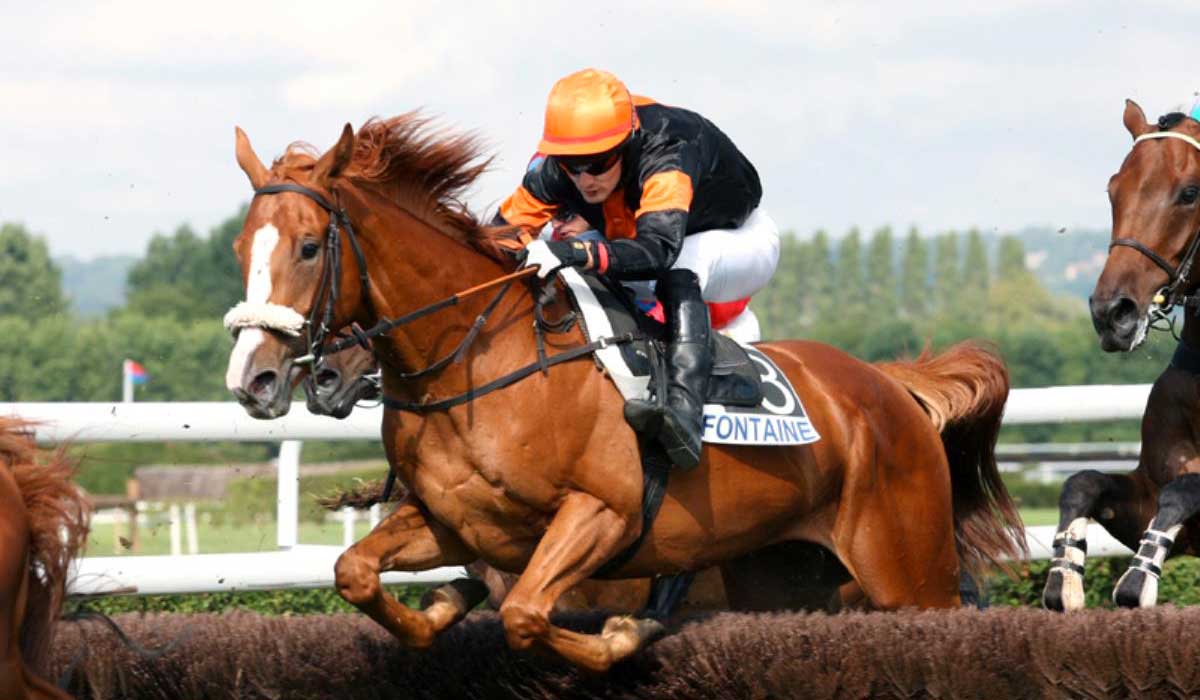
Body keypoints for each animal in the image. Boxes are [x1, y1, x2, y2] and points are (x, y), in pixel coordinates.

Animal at [224, 113, 1024, 671]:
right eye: (239, 249)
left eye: (308, 246)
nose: (254, 377)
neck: (479, 366)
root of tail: (888, 387)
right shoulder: (455, 523)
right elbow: (356, 572)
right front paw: (441, 609)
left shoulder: (603, 513)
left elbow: (525, 615)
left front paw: (624, 635)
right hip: (786, 575)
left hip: (908, 569)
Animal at [1046, 100, 1200, 611]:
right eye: (1114, 191)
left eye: (1190, 192)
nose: (1112, 313)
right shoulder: (1148, 489)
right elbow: (1083, 481)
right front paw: (1065, 574)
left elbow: (1185, 487)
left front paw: (1138, 577)